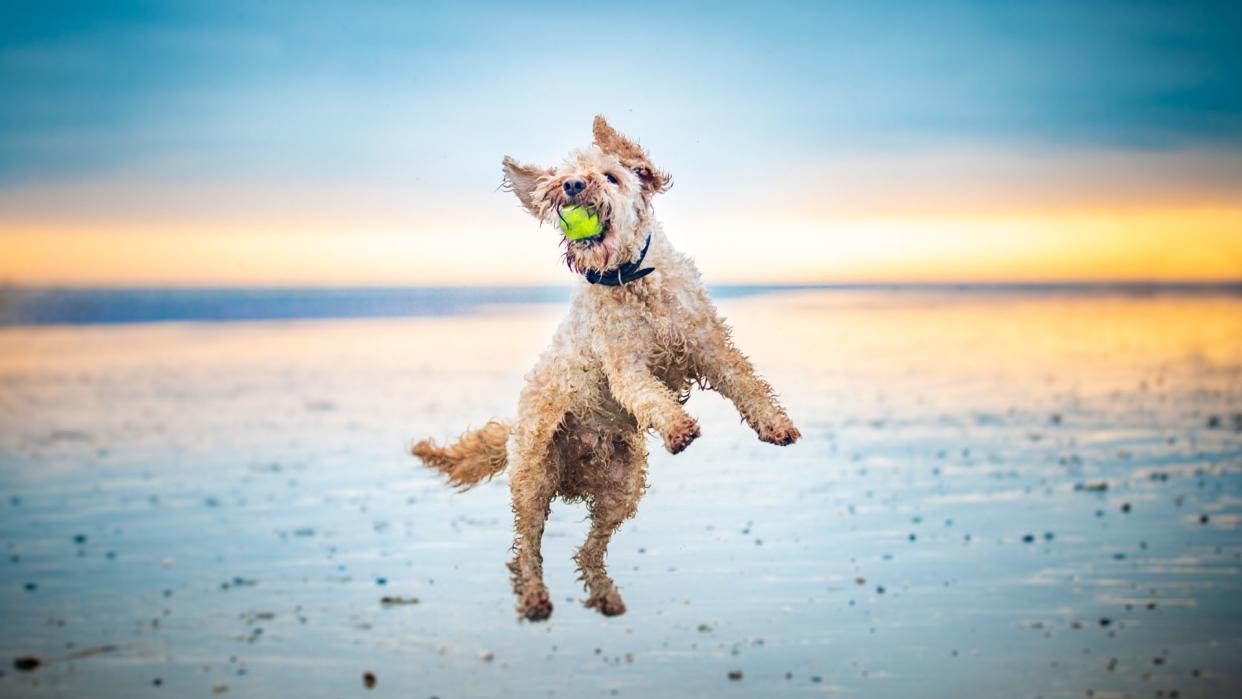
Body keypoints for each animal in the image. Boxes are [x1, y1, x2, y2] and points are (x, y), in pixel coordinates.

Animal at [414, 116, 804, 623]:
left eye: (611, 176)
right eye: (564, 177)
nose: (573, 185)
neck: (632, 279)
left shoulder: (709, 344)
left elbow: (746, 382)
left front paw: (776, 425)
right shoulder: (625, 366)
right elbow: (649, 395)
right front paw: (678, 427)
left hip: (624, 486)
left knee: (588, 551)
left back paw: (604, 595)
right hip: (533, 477)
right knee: (526, 551)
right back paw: (535, 598)